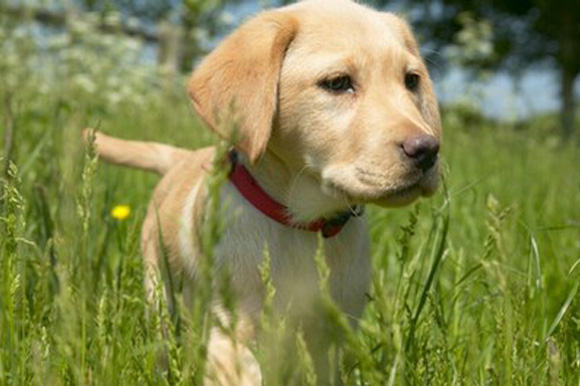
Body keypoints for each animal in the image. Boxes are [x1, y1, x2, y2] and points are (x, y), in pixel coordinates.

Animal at [89, 0, 440, 382]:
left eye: (411, 80)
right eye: (338, 83)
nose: (427, 150)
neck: (306, 226)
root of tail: (182, 158)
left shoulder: (333, 339)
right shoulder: (234, 336)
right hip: (161, 294)